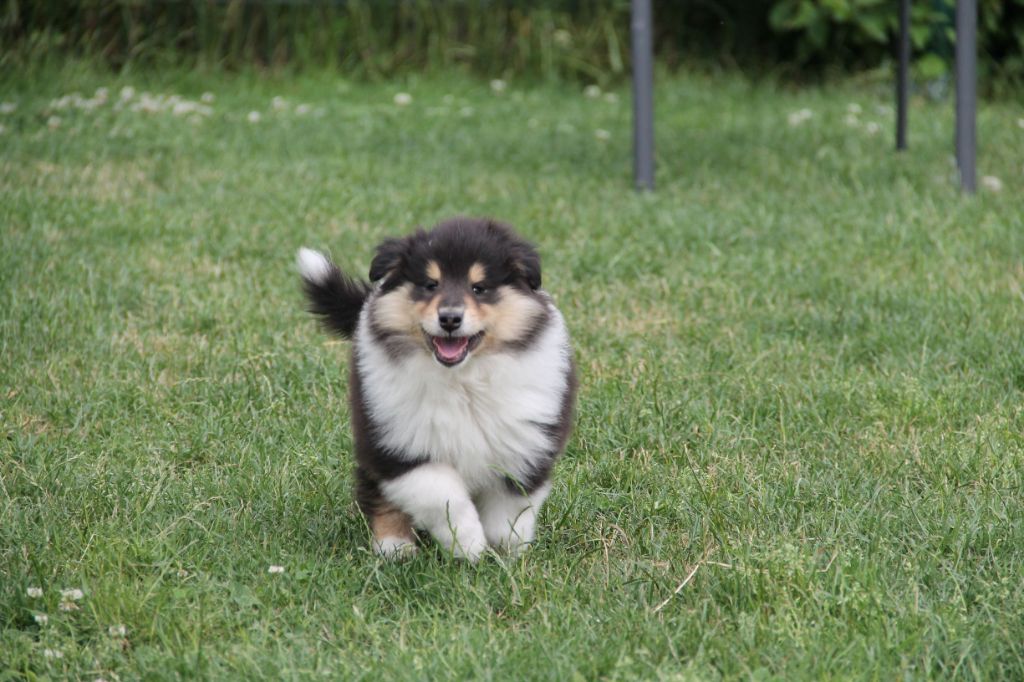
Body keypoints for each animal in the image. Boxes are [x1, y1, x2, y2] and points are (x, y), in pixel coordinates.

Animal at [296, 216, 577, 557]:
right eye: (431, 285)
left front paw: (505, 550)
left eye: (479, 288)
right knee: (376, 489)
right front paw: (468, 543)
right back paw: (394, 545)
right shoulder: (400, 442)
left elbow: (509, 506)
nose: (450, 319)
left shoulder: (525, 443)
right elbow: (442, 494)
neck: (463, 381)